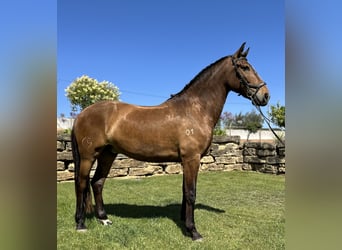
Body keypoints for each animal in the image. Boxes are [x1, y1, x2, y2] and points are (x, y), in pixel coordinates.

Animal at [71, 42, 270, 240]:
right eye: (244, 67)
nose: (265, 95)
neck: (195, 110)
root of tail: (83, 114)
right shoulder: (191, 159)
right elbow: (191, 193)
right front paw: (193, 231)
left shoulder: (186, 161)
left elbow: (184, 191)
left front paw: (185, 222)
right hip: (88, 156)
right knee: (82, 184)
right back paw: (80, 223)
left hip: (107, 154)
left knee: (97, 183)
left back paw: (103, 219)